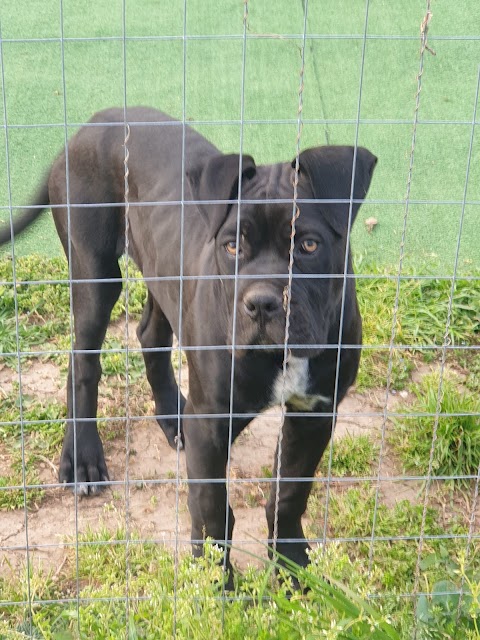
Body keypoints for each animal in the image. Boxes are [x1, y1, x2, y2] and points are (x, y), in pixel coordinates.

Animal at [0, 107, 376, 576]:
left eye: (308, 244)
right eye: (232, 247)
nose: (263, 304)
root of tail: (96, 120)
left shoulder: (314, 412)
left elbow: (289, 495)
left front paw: (292, 567)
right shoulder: (212, 424)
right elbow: (213, 509)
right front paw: (217, 584)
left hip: (164, 272)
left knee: (150, 336)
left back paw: (172, 415)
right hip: (94, 274)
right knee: (83, 360)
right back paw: (82, 459)